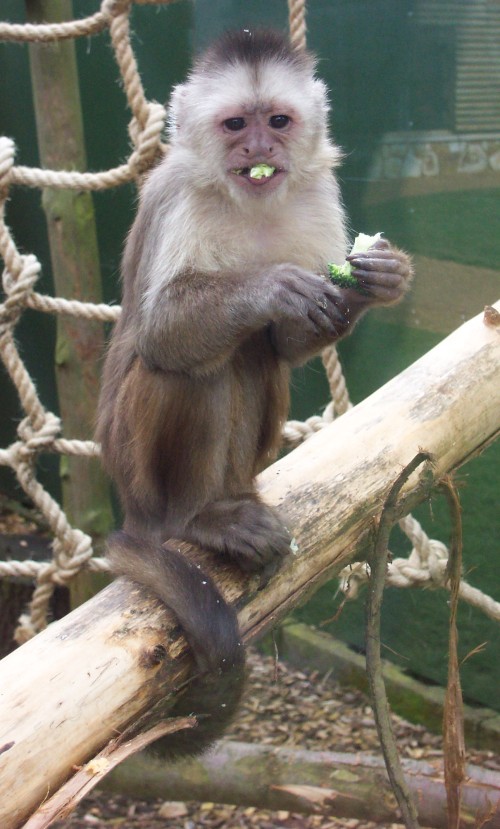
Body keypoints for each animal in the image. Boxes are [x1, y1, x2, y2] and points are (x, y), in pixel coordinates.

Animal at [95, 27, 412, 756]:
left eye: (279, 122)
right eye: (236, 125)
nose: (259, 152)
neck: (250, 203)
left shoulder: (318, 194)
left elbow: (294, 340)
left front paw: (378, 279)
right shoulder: (177, 195)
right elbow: (161, 334)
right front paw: (272, 286)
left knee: (257, 354)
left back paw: (236, 499)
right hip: (135, 471)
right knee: (196, 364)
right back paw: (198, 519)